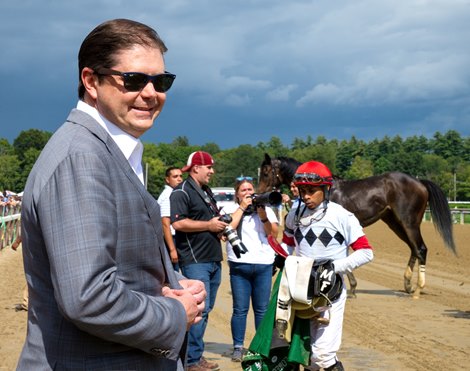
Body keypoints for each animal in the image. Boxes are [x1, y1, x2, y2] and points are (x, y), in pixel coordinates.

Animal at [258, 154, 458, 300]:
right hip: (394, 222)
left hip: (409, 221)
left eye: (266, 172)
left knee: (421, 249)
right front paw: (352, 287)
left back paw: (417, 289)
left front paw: (351, 287)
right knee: (413, 248)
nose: (258, 193)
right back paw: (408, 284)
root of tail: (420, 182)